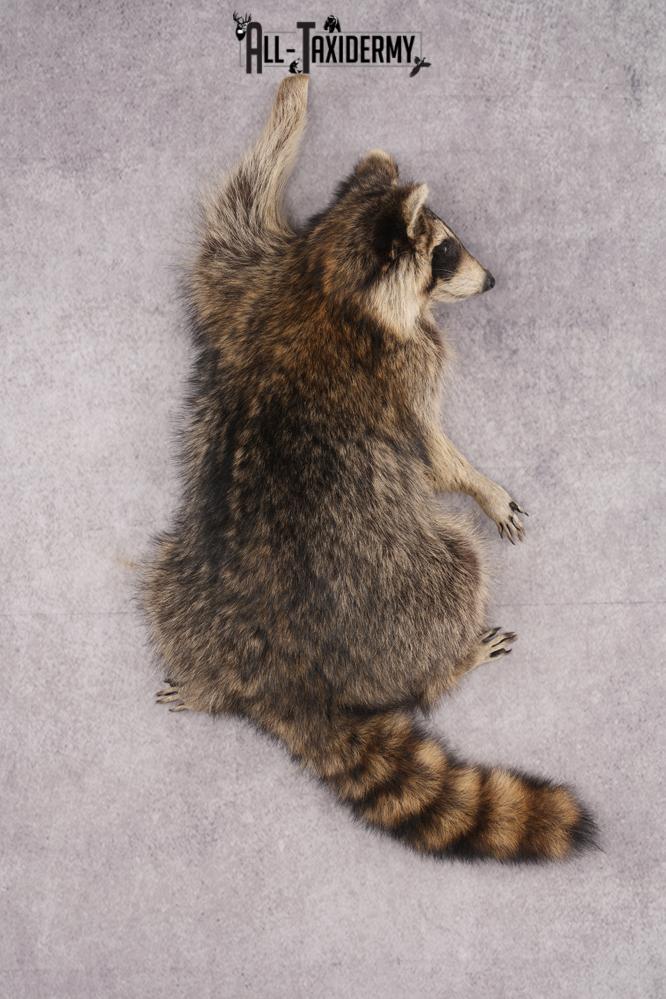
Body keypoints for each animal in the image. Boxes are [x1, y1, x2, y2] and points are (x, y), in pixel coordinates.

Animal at [142, 76, 596, 861]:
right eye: (446, 251)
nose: (492, 280)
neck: (329, 276)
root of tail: (285, 679)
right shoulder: (401, 370)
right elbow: (431, 451)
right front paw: (480, 485)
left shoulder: (247, 282)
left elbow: (239, 200)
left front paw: (288, 108)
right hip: (407, 586)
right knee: (455, 569)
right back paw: (454, 656)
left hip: (188, 587)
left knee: (165, 578)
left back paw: (205, 687)